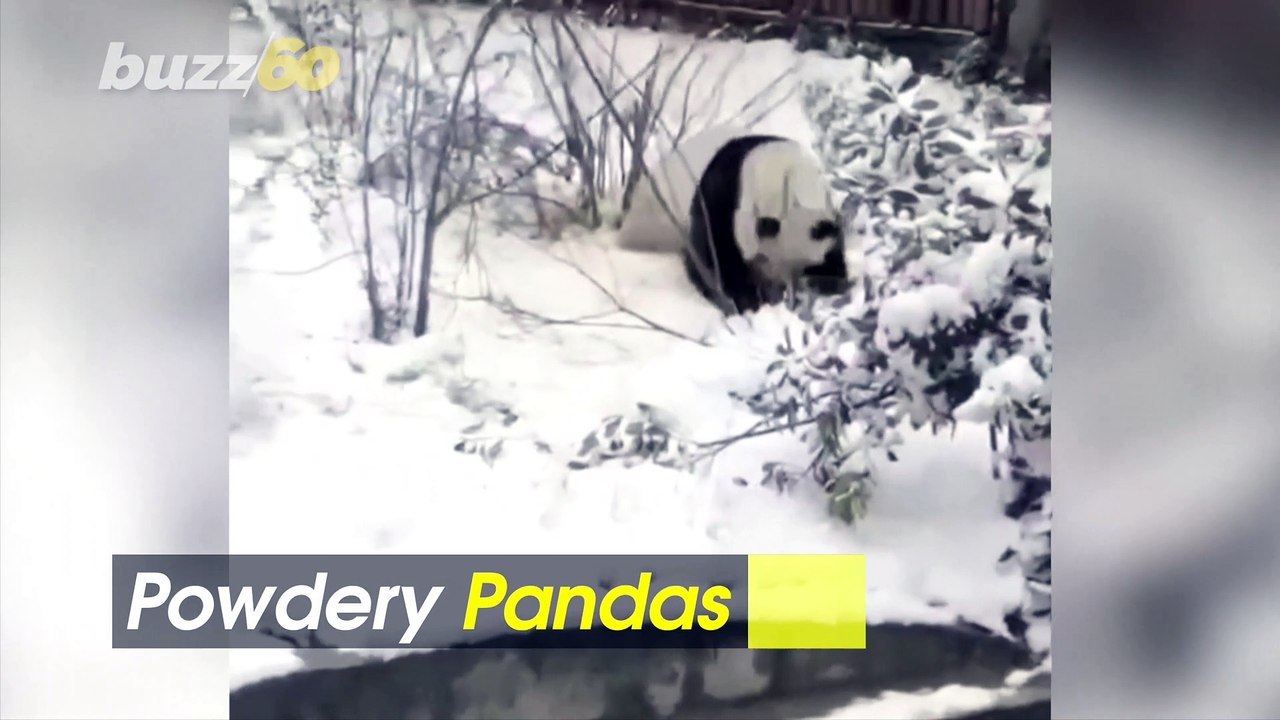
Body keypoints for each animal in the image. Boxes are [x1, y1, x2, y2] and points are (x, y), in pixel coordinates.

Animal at [616, 126, 851, 315]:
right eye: (763, 259)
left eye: (803, 266)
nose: (783, 291)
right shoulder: (721, 195)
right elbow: (714, 258)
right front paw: (744, 302)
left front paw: (830, 283)